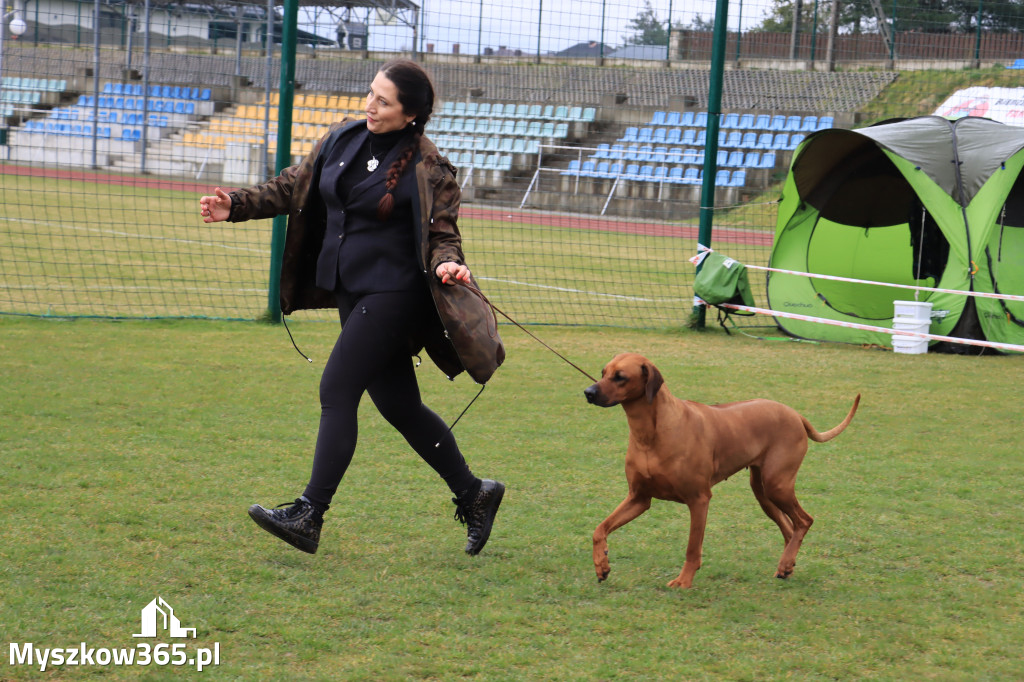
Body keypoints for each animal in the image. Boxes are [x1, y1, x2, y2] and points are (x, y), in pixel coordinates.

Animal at [585, 352, 856, 585]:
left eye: (620, 376)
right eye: (603, 372)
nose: (588, 392)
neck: (650, 433)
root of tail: (796, 414)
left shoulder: (699, 499)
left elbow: (692, 548)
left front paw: (683, 581)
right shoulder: (638, 498)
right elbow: (599, 530)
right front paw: (601, 565)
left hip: (777, 484)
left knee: (804, 521)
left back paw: (787, 561)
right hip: (763, 492)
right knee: (790, 528)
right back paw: (786, 565)